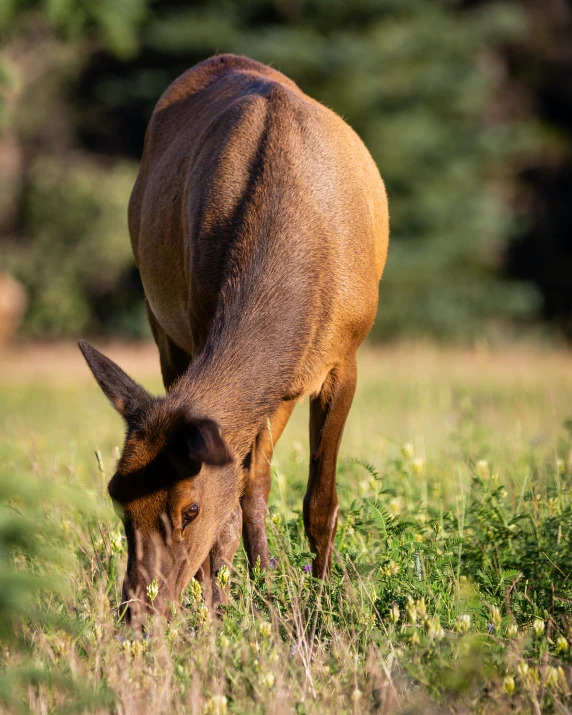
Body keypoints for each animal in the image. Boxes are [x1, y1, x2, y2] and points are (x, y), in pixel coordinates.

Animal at [78, 53, 388, 620]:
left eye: (189, 508)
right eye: (117, 496)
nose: (138, 610)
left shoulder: (346, 355)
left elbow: (320, 501)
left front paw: (320, 606)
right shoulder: (198, 324)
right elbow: (238, 499)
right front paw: (218, 607)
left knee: (257, 477)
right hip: (163, 325)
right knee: (252, 480)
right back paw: (252, 581)